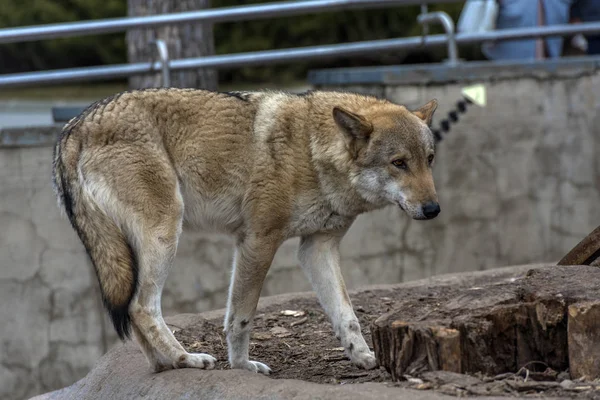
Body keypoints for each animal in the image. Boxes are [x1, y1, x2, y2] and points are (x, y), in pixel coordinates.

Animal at [52, 88, 440, 376]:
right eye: (399, 163)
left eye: (429, 159)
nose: (434, 210)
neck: (311, 151)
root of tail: (73, 126)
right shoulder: (258, 241)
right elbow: (240, 317)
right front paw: (240, 367)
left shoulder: (317, 248)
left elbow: (347, 316)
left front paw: (363, 357)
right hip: (165, 234)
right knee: (141, 307)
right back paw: (185, 359)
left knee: (135, 313)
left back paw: (164, 365)